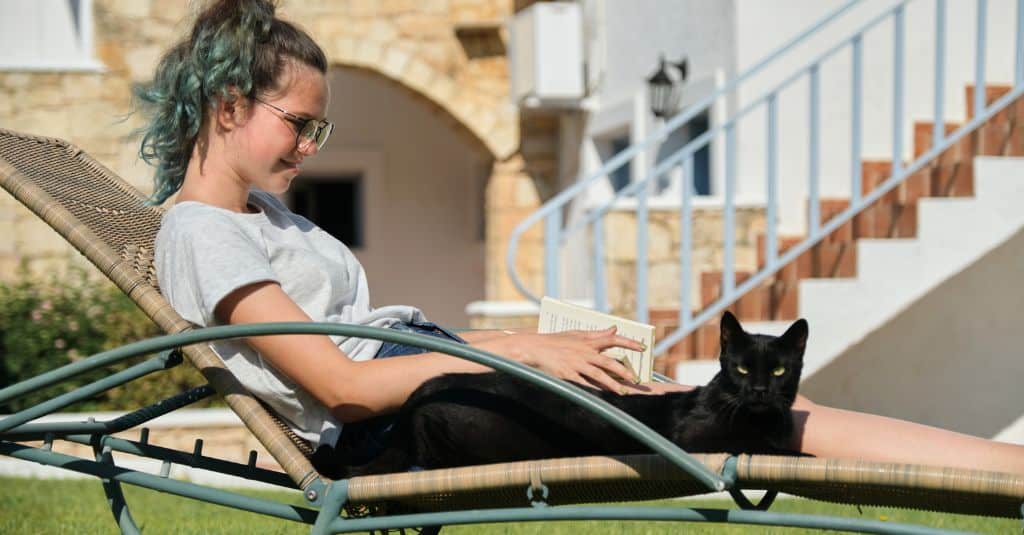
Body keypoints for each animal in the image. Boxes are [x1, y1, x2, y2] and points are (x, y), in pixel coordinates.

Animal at [331, 307, 802, 475]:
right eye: (742, 368)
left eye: (779, 370)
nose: (760, 390)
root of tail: (419, 393)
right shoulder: (699, 441)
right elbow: (767, 447)